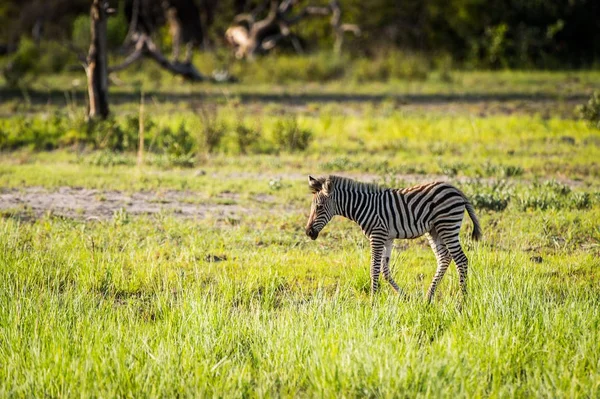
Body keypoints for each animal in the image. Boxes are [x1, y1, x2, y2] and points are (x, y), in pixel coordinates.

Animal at [304, 175, 482, 300]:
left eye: (319, 207)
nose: (308, 232)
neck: (363, 206)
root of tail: (456, 189)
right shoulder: (387, 238)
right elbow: (385, 271)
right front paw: (404, 296)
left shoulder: (377, 235)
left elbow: (374, 269)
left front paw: (373, 301)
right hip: (434, 230)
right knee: (444, 258)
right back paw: (428, 298)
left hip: (447, 226)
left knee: (461, 260)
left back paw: (462, 300)